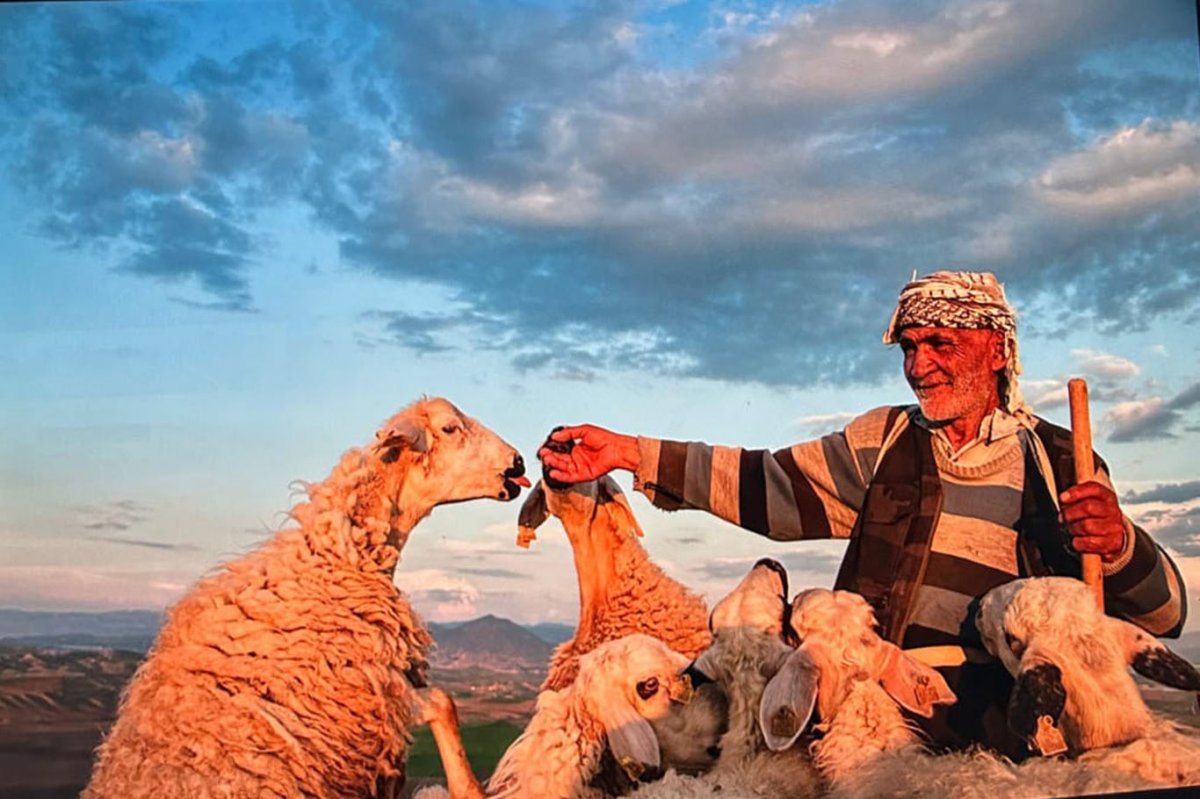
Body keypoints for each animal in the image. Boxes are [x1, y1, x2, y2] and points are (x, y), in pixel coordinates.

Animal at [83, 395, 530, 796]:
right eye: (450, 428)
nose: (520, 463)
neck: (336, 557)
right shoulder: (371, 688)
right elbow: (443, 702)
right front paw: (470, 788)